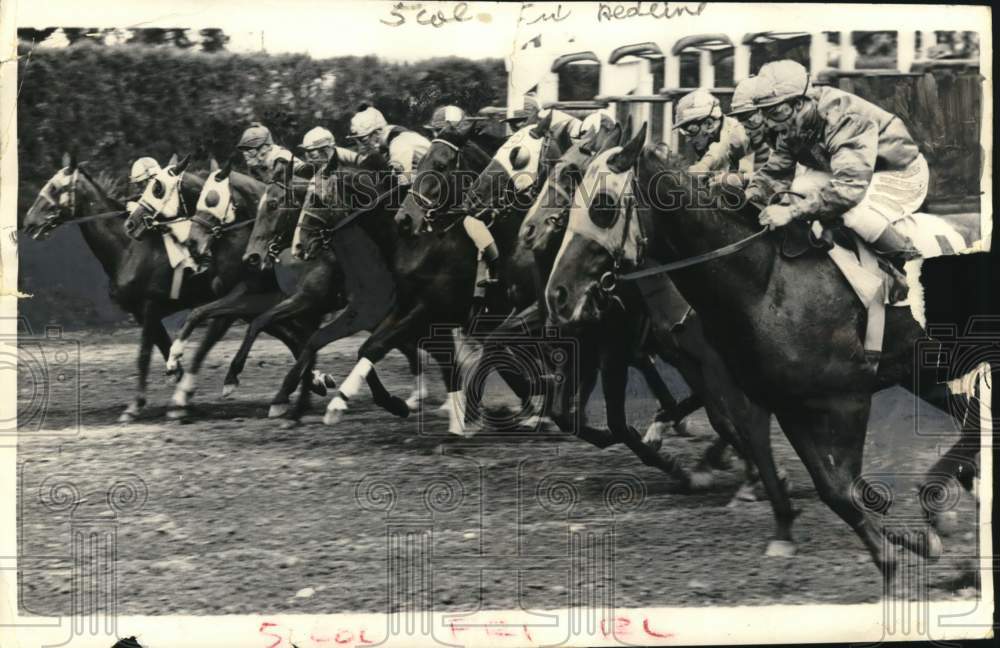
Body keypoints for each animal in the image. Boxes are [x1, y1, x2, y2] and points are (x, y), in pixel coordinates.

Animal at [544, 129, 980, 576]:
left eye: (602, 205)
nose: (557, 294)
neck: (765, 283)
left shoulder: (847, 398)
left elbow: (841, 485)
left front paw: (895, 544)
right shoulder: (776, 398)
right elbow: (824, 482)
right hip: (926, 369)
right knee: (972, 421)